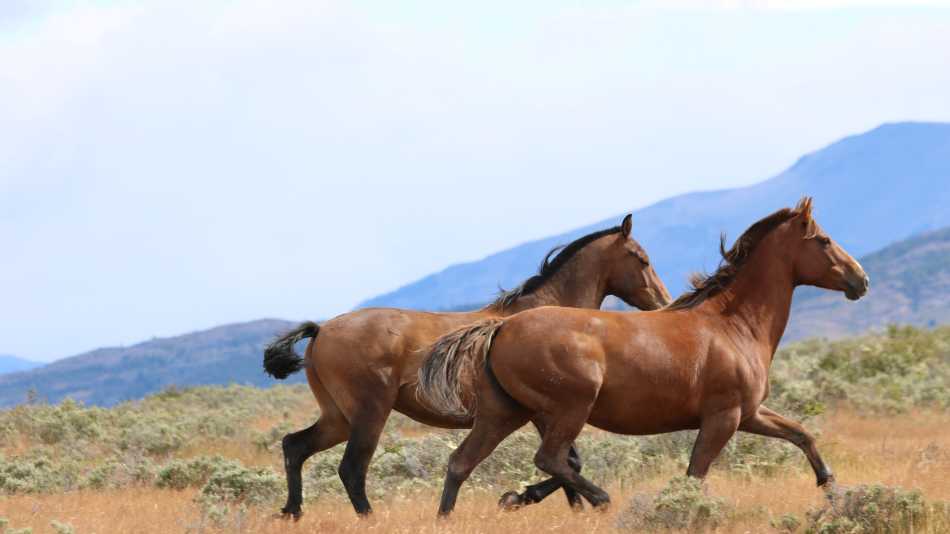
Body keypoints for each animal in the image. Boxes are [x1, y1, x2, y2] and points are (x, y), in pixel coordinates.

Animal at [262, 214, 672, 517]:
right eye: (642, 259)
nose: (663, 302)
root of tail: (321, 331)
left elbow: (569, 463)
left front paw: (556, 504)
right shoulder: (547, 411)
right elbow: (566, 462)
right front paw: (520, 498)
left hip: (337, 417)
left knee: (295, 446)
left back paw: (291, 512)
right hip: (368, 414)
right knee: (351, 469)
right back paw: (368, 519)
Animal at [420, 197, 870, 516]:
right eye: (824, 240)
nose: (860, 280)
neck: (734, 325)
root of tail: (501, 328)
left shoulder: (749, 413)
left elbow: (802, 434)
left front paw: (831, 488)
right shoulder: (722, 418)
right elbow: (694, 476)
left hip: (506, 412)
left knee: (461, 463)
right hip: (567, 409)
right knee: (549, 459)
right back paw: (596, 499)